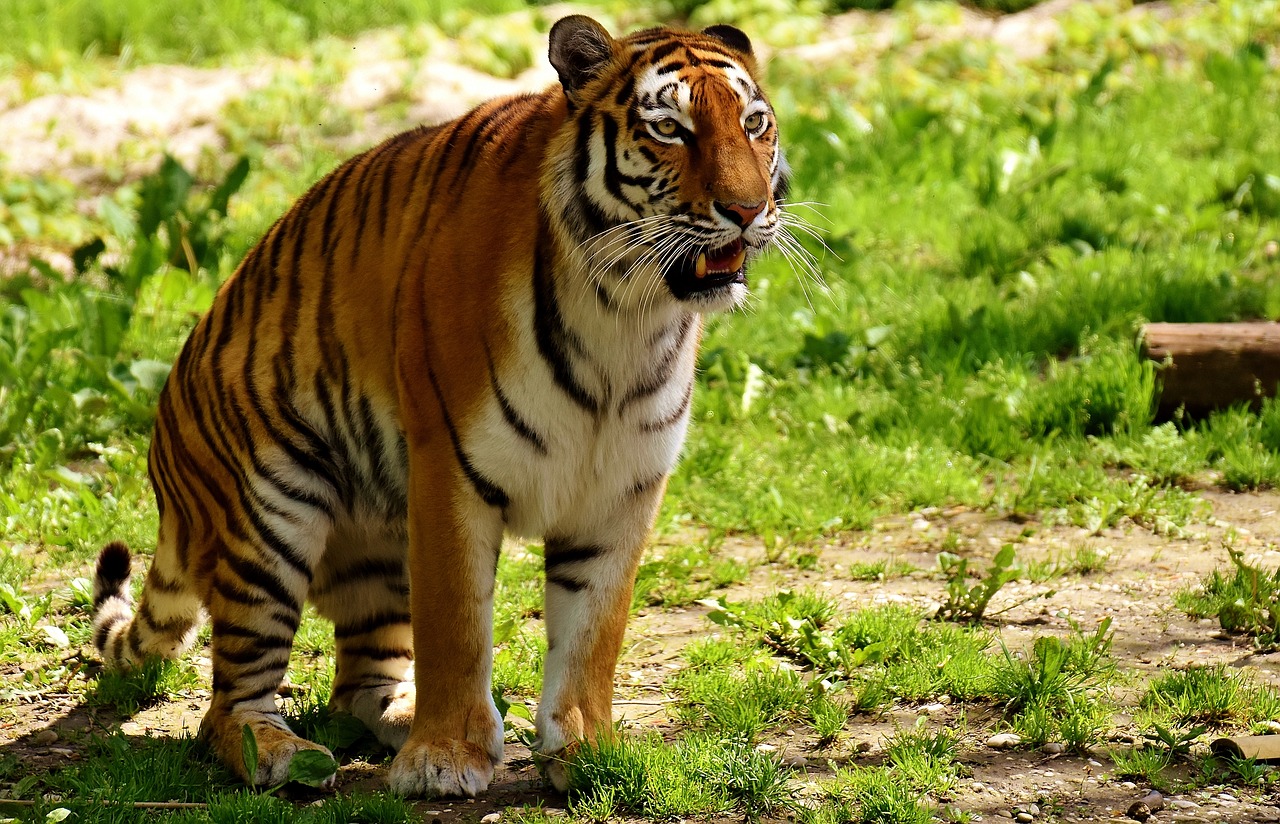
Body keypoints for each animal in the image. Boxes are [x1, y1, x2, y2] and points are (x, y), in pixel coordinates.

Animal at [87, 14, 778, 798]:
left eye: (754, 125)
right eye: (670, 130)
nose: (749, 211)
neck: (626, 314)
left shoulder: (622, 489)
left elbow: (593, 632)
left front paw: (584, 749)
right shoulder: (451, 466)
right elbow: (456, 624)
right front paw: (446, 756)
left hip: (381, 538)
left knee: (357, 685)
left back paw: (405, 716)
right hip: (270, 514)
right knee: (226, 706)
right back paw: (284, 753)